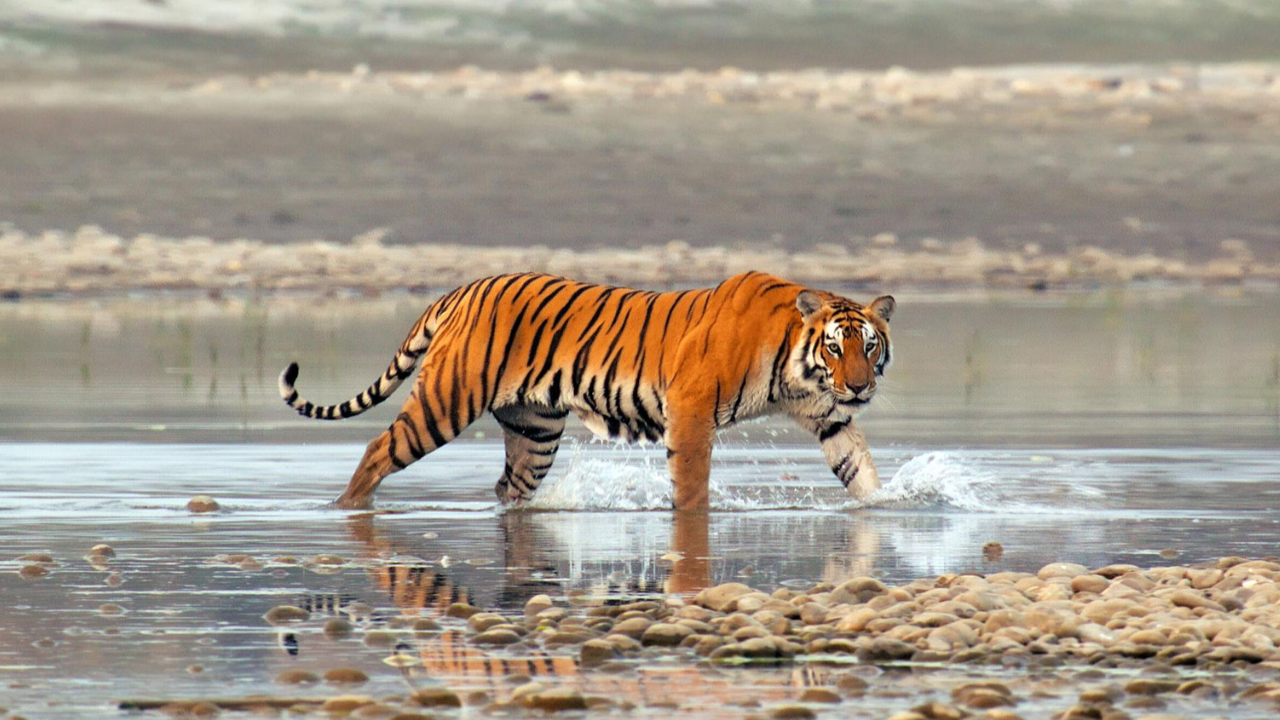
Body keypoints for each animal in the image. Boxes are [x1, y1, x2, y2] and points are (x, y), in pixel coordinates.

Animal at [278, 271, 895, 511]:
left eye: (869, 346)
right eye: (835, 348)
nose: (859, 386)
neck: (797, 366)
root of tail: (460, 289)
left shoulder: (827, 415)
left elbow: (857, 465)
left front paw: (885, 507)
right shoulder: (691, 410)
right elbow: (692, 483)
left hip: (534, 431)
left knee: (509, 488)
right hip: (445, 402)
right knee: (377, 450)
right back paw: (346, 509)